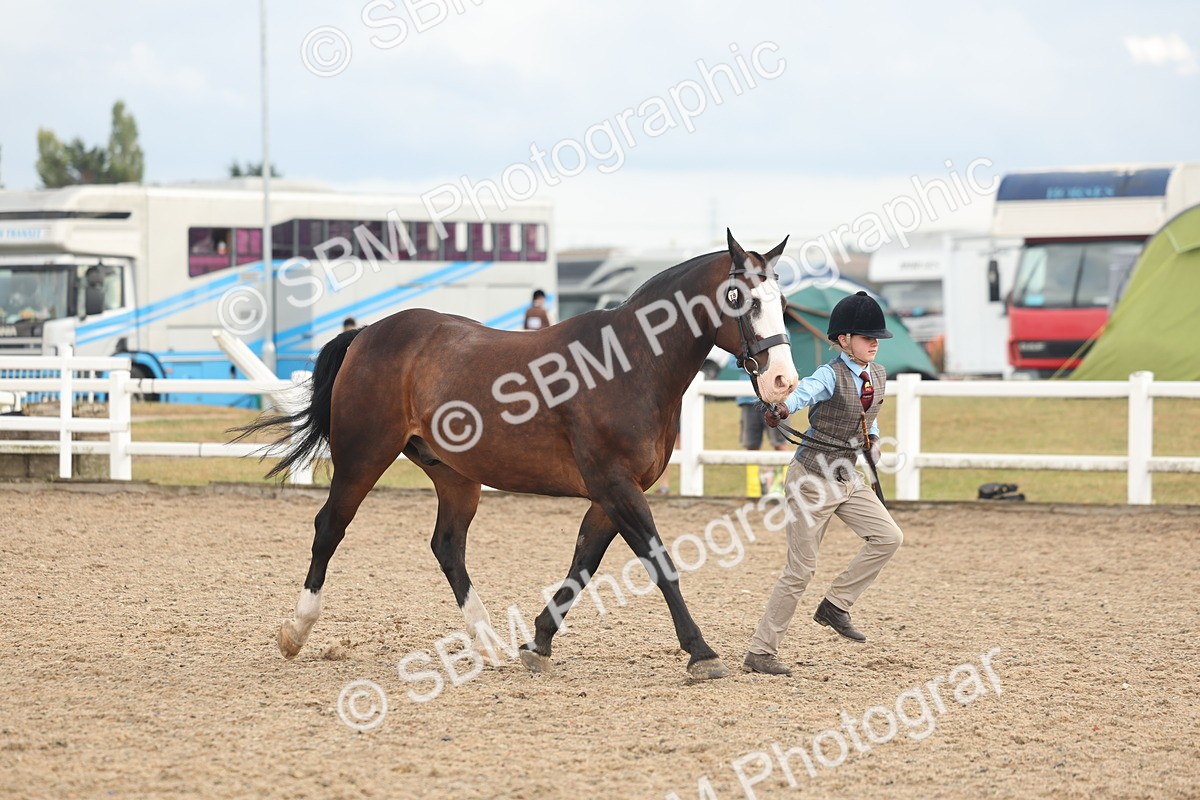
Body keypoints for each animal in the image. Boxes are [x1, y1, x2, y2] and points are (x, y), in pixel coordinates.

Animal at [237, 230, 799, 680]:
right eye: (740, 297)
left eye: (781, 299)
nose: (782, 381)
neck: (628, 366)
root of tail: (368, 333)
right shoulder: (615, 485)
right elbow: (659, 563)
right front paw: (701, 652)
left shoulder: (611, 494)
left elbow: (583, 563)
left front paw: (538, 642)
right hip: (363, 457)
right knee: (330, 528)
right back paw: (296, 631)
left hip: (455, 476)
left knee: (447, 547)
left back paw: (486, 640)